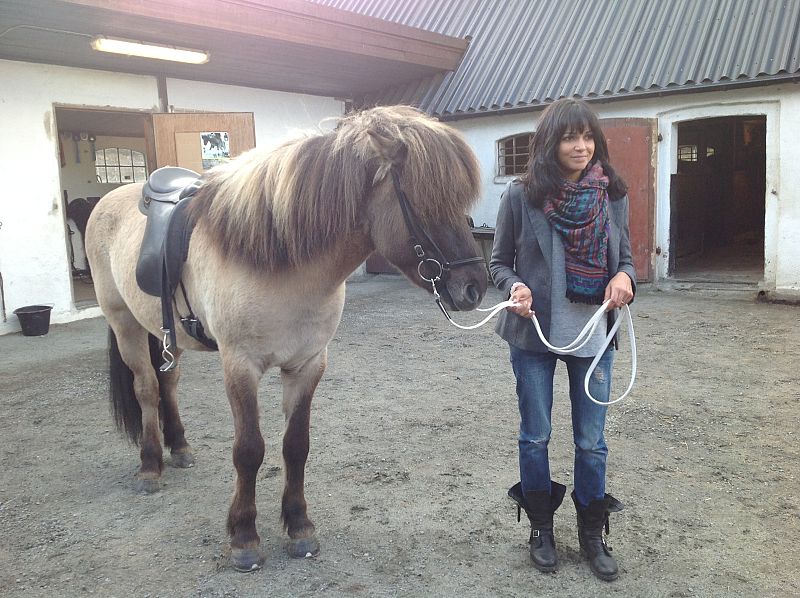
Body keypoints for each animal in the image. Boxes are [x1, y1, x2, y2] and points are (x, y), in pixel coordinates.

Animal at [85, 105, 488, 571]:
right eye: (426, 200)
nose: (474, 287)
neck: (279, 258)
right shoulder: (240, 367)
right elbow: (249, 450)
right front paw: (244, 537)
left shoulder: (307, 364)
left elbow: (296, 446)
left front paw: (299, 526)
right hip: (125, 325)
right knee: (147, 389)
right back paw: (150, 466)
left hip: (165, 334)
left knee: (168, 383)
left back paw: (180, 448)